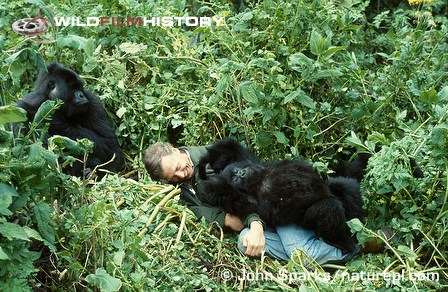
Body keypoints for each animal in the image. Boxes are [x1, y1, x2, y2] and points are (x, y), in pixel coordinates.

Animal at [196, 138, 364, 252]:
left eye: (238, 171)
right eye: (235, 178)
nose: (241, 174)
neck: (259, 179)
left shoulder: (251, 161)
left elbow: (230, 147)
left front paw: (205, 167)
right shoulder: (242, 196)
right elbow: (218, 191)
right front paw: (206, 174)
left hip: (329, 190)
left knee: (346, 187)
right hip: (306, 221)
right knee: (329, 207)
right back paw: (340, 241)